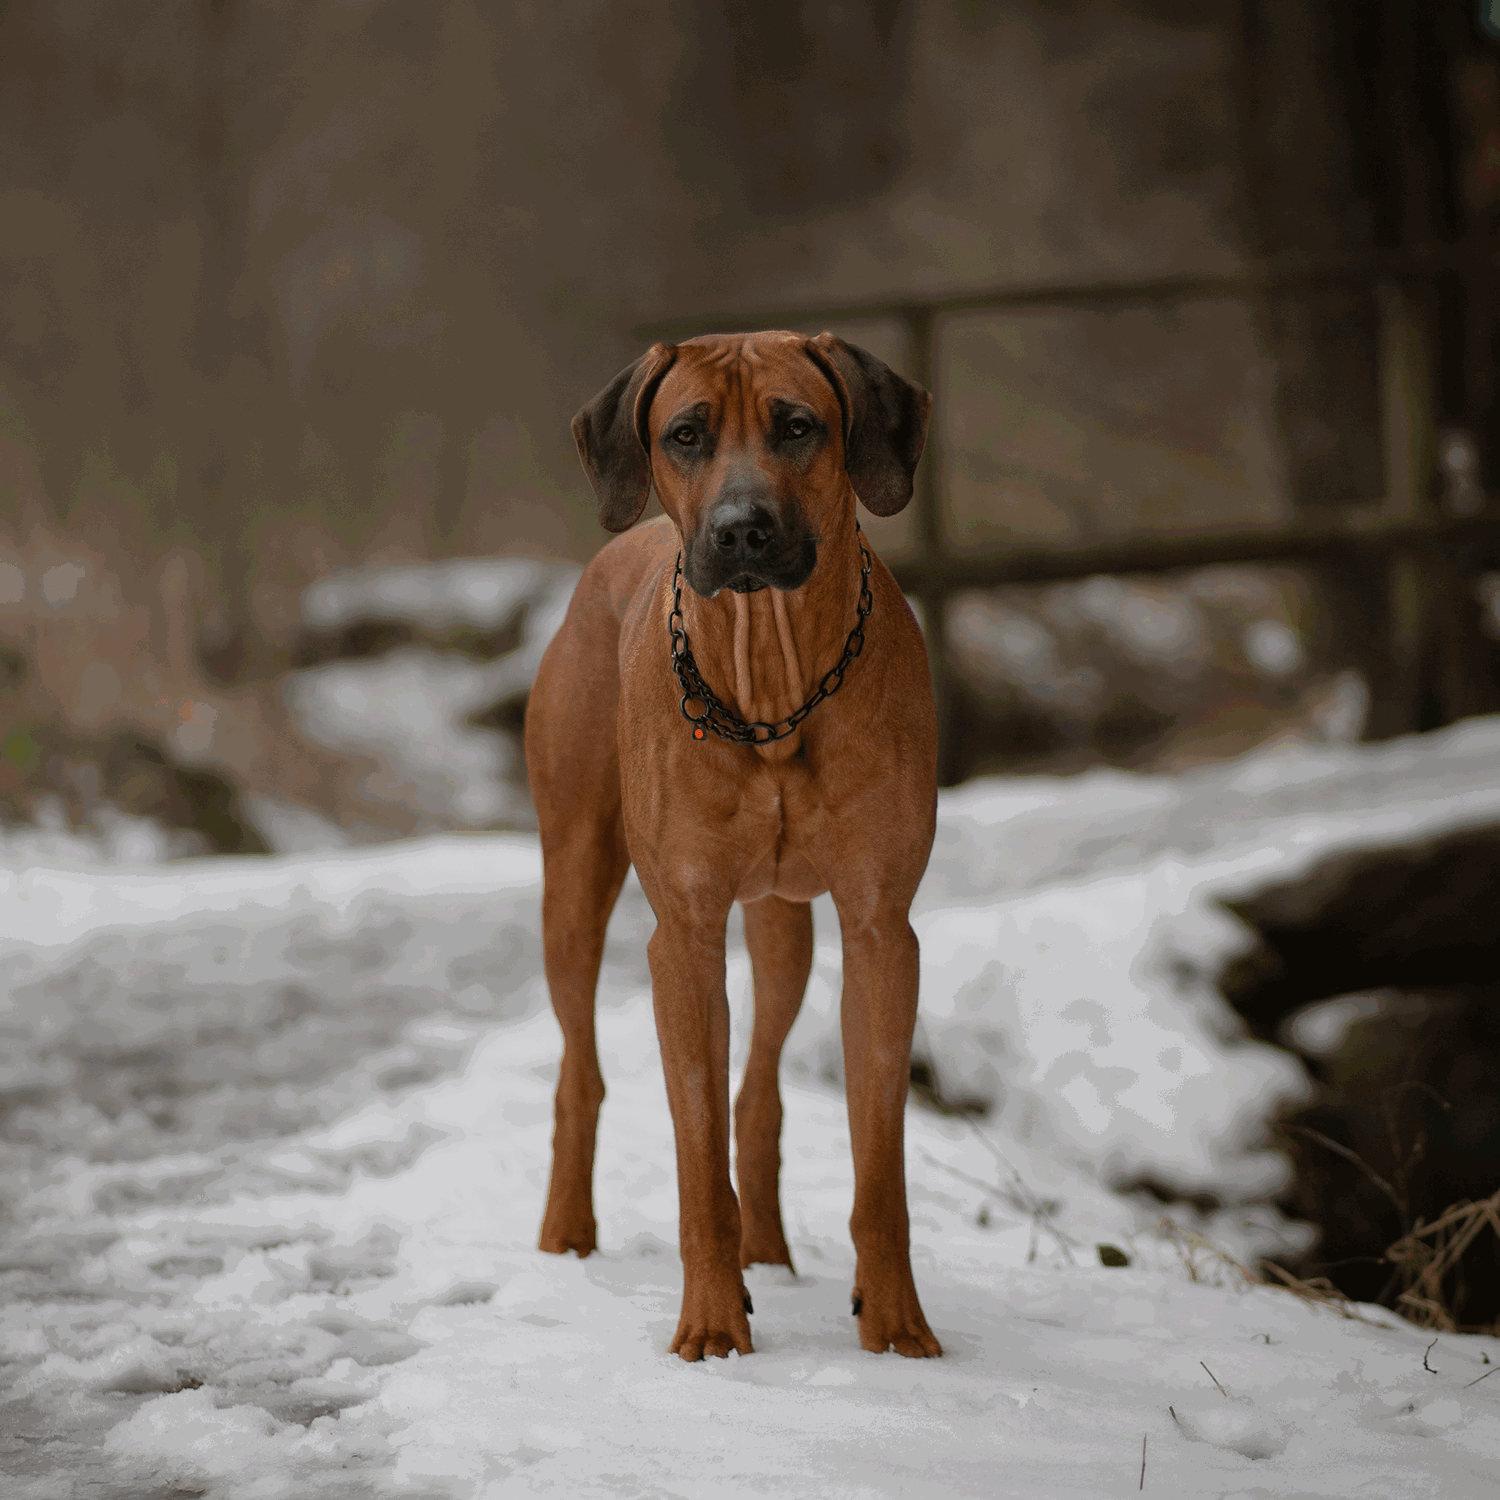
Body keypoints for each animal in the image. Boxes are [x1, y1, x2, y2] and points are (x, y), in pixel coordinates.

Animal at [525, 328, 936, 1362]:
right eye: (685, 434)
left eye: (798, 426)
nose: (741, 531)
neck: (772, 689)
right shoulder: (685, 935)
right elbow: (696, 1157)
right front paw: (711, 1325)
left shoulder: (883, 930)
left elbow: (880, 1169)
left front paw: (898, 1326)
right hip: (573, 878)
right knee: (579, 1073)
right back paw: (567, 1235)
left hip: (784, 918)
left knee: (760, 1091)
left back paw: (770, 1253)